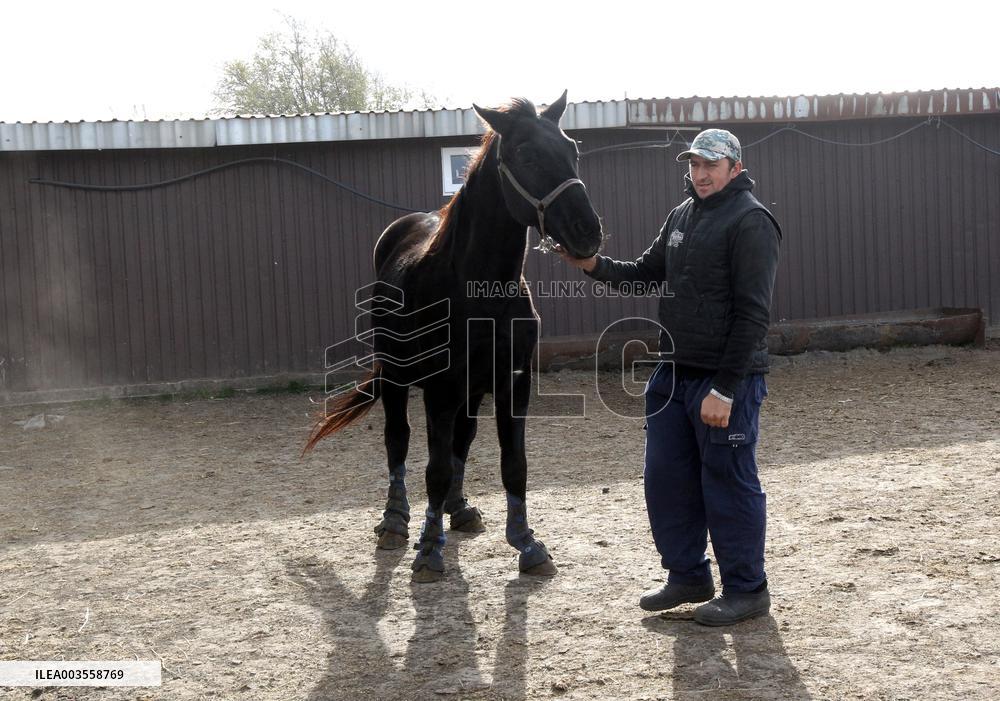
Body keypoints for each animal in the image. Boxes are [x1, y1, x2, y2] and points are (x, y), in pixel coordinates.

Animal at [303, 92, 604, 582]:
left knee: (463, 438)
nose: (587, 231)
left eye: (572, 149)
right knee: (398, 440)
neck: (479, 290)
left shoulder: (512, 383)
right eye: (526, 155)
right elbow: (435, 468)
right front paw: (428, 549)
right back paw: (396, 521)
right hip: (396, 378)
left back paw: (458, 509)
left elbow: (512, 464)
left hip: (470, 390)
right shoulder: (440, 389)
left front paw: (527, 543)